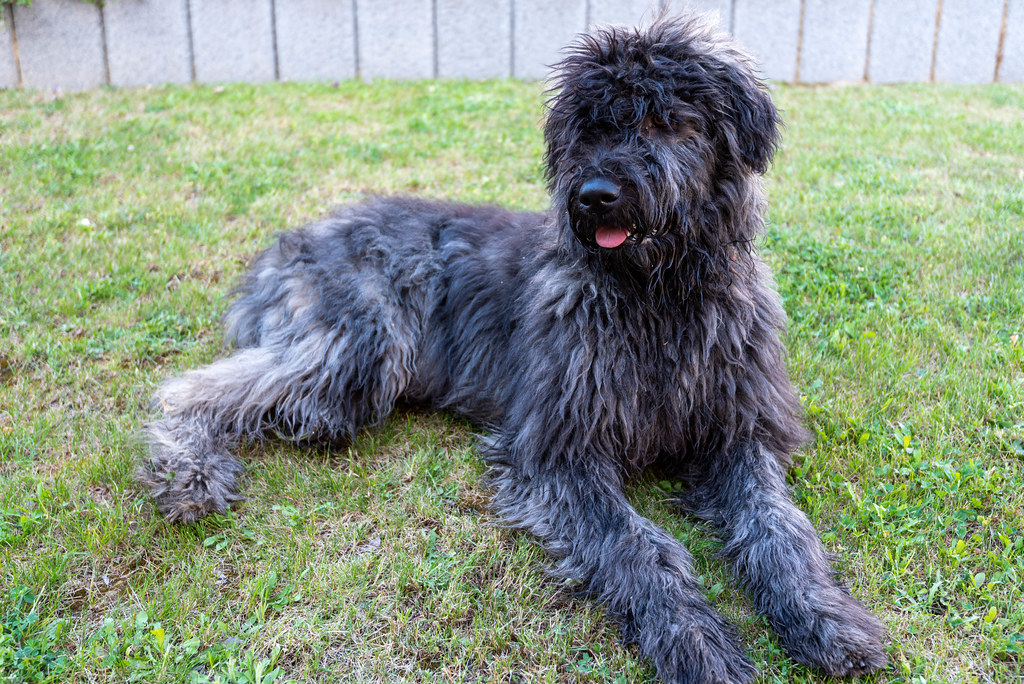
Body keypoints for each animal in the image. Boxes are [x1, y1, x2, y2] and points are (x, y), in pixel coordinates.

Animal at [138, 15, 888, 684]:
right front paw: (695, 643)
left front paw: (825, 618)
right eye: (590, 127)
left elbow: (779, 527)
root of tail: (293, 240)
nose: (595, 195)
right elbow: (638, 546)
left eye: (667, 122)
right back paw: (187, 472)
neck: (657, 300)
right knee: (191, 387)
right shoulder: (560, 450)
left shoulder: (738, 430)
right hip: (361, 342)